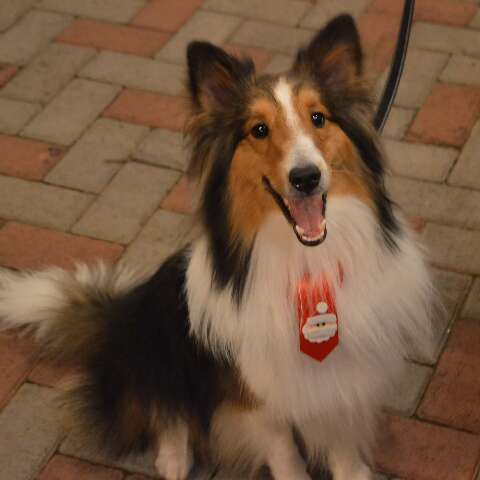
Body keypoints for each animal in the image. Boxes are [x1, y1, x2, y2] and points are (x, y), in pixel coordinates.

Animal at [0, 15, 436, 480]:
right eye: (259, 130)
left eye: (318, 118)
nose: (306, 178)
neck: (306, 260)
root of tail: (121, 317)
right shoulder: (258, 397)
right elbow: (285, 455)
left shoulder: (343, 380)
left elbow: (342, 447)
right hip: (161, 335)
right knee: (166, 410)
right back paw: (174, 459)